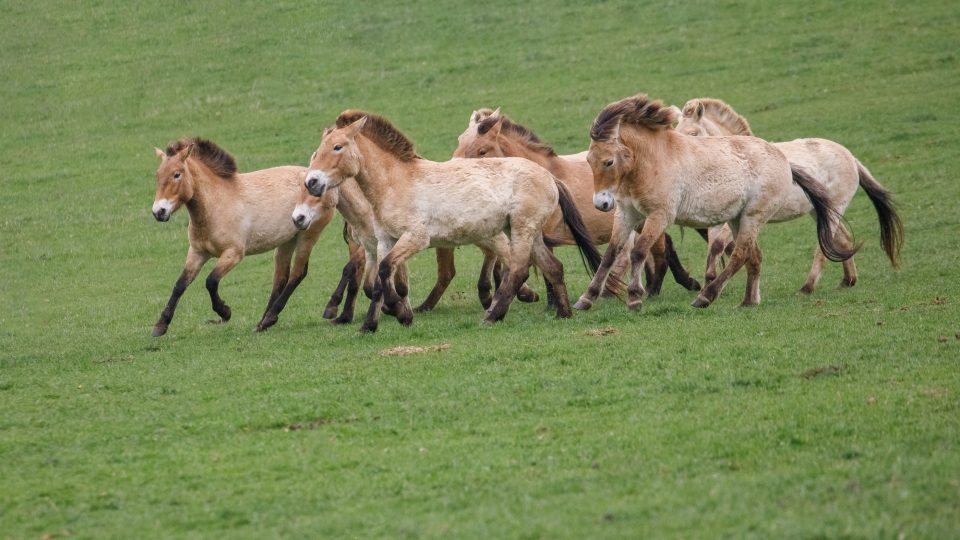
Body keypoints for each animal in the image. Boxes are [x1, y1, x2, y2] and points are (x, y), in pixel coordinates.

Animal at [304, 112, 596, 332]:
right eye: (316, 151)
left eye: (338, 147)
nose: (312, 182)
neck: (396, 182)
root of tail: (548, 176)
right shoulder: (385, 241)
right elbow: (377, 283)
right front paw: (369, 325)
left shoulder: (415, 238)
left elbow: (386, 271)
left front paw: (400, 313)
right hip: (527, 231)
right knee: (553, 267)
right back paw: (563, 314)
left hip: (521, 230)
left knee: (518, 271)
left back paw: (492, 316)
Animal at [454, 107, 700, 298]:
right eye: (459, 142)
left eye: (482, 151)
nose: (454, 172)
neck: (544, 175)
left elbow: (547, 271)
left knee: (660, 251)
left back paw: (653, 291)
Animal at [572, 95, 860, 310]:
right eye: (588, 160)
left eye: (609, 161)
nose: (601, 203)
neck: (651, 161)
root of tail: (782, 158)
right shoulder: (627, 215)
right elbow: (611, 254)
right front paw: (586, 298)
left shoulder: (659, 216)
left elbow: (639, 251)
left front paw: (634, 298)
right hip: (737, 219)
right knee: (753, 255)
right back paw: (748, 301)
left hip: (753, 217)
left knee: (741, 254)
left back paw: (706, 297)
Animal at [676, 97, 900, 292]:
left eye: (693, 133)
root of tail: (851, 157)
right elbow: (714, 248)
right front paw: (709, 284)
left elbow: (720, 245)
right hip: (820, 211)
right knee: (843, 239)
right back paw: (848, 281)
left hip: (835, 207)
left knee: (824, 246)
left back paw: (808, 287)